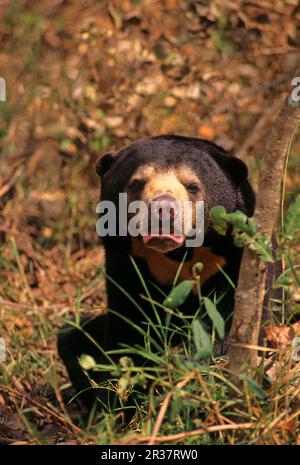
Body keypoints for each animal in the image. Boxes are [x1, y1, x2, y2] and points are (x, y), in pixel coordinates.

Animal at [58, 136, 255, 408]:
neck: (177, 254)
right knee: (71, 339)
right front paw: (121, 395)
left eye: (192, 186)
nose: (163, 209)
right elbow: (129, 321)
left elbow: (221, 316)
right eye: (137, 183)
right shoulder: (126, 259)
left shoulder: (228, 259)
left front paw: (187, 365)